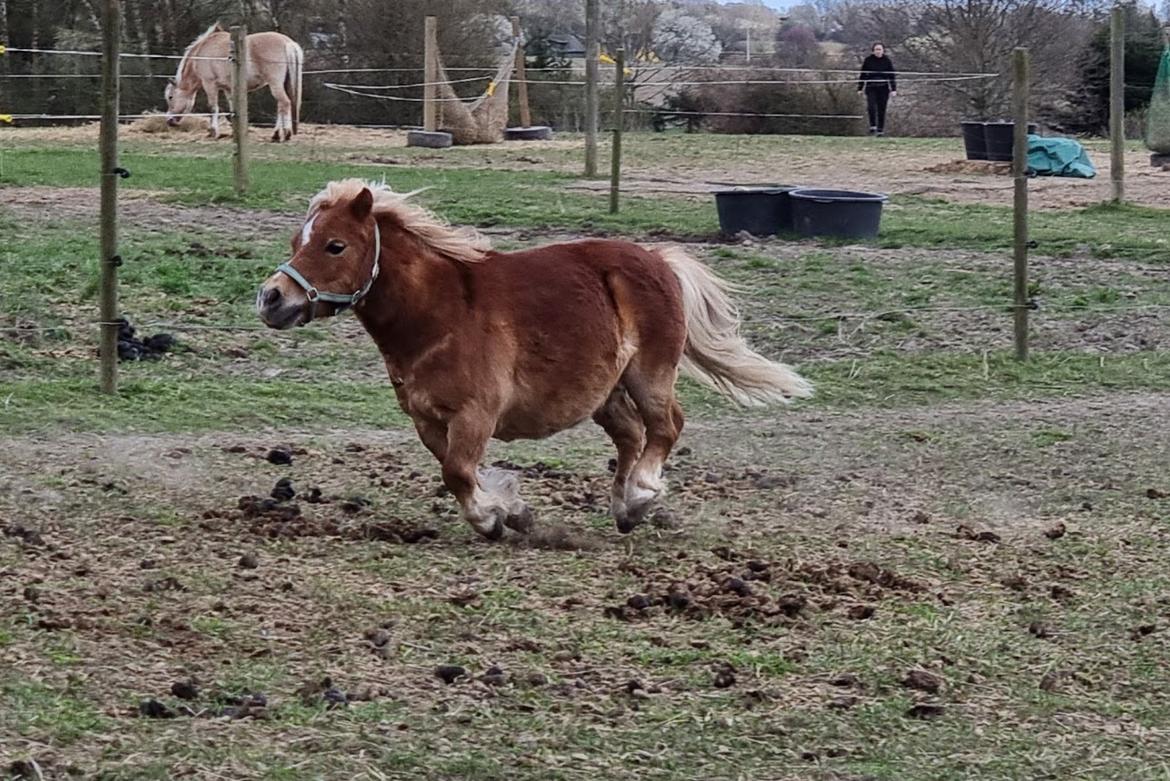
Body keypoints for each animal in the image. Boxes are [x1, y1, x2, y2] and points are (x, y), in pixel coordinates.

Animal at [166, 23, 304, 143]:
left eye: (170, 97)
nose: (169, 121)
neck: (201, 52)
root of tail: (288, 43)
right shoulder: (228, 88)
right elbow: (233, 108)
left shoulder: (209, 84)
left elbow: (213, 107)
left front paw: (213, 132)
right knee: (281, 105)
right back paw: (276, 135)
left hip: (275, 84)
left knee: (284, 103)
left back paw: (285, 133)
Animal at [256, 180, 809, 540]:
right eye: (297, 241)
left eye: (335, 245)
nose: (272, 298)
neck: (441, 312)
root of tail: (658, 259)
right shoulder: (427, 419)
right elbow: (457, 471)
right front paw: (511, 508)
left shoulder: (475, 414)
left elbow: (458, 472)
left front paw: (493, 518)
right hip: (605, 392)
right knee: (632, 437)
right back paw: (624, 507)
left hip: (649, 375)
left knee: (665, 426)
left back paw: (643, 493)